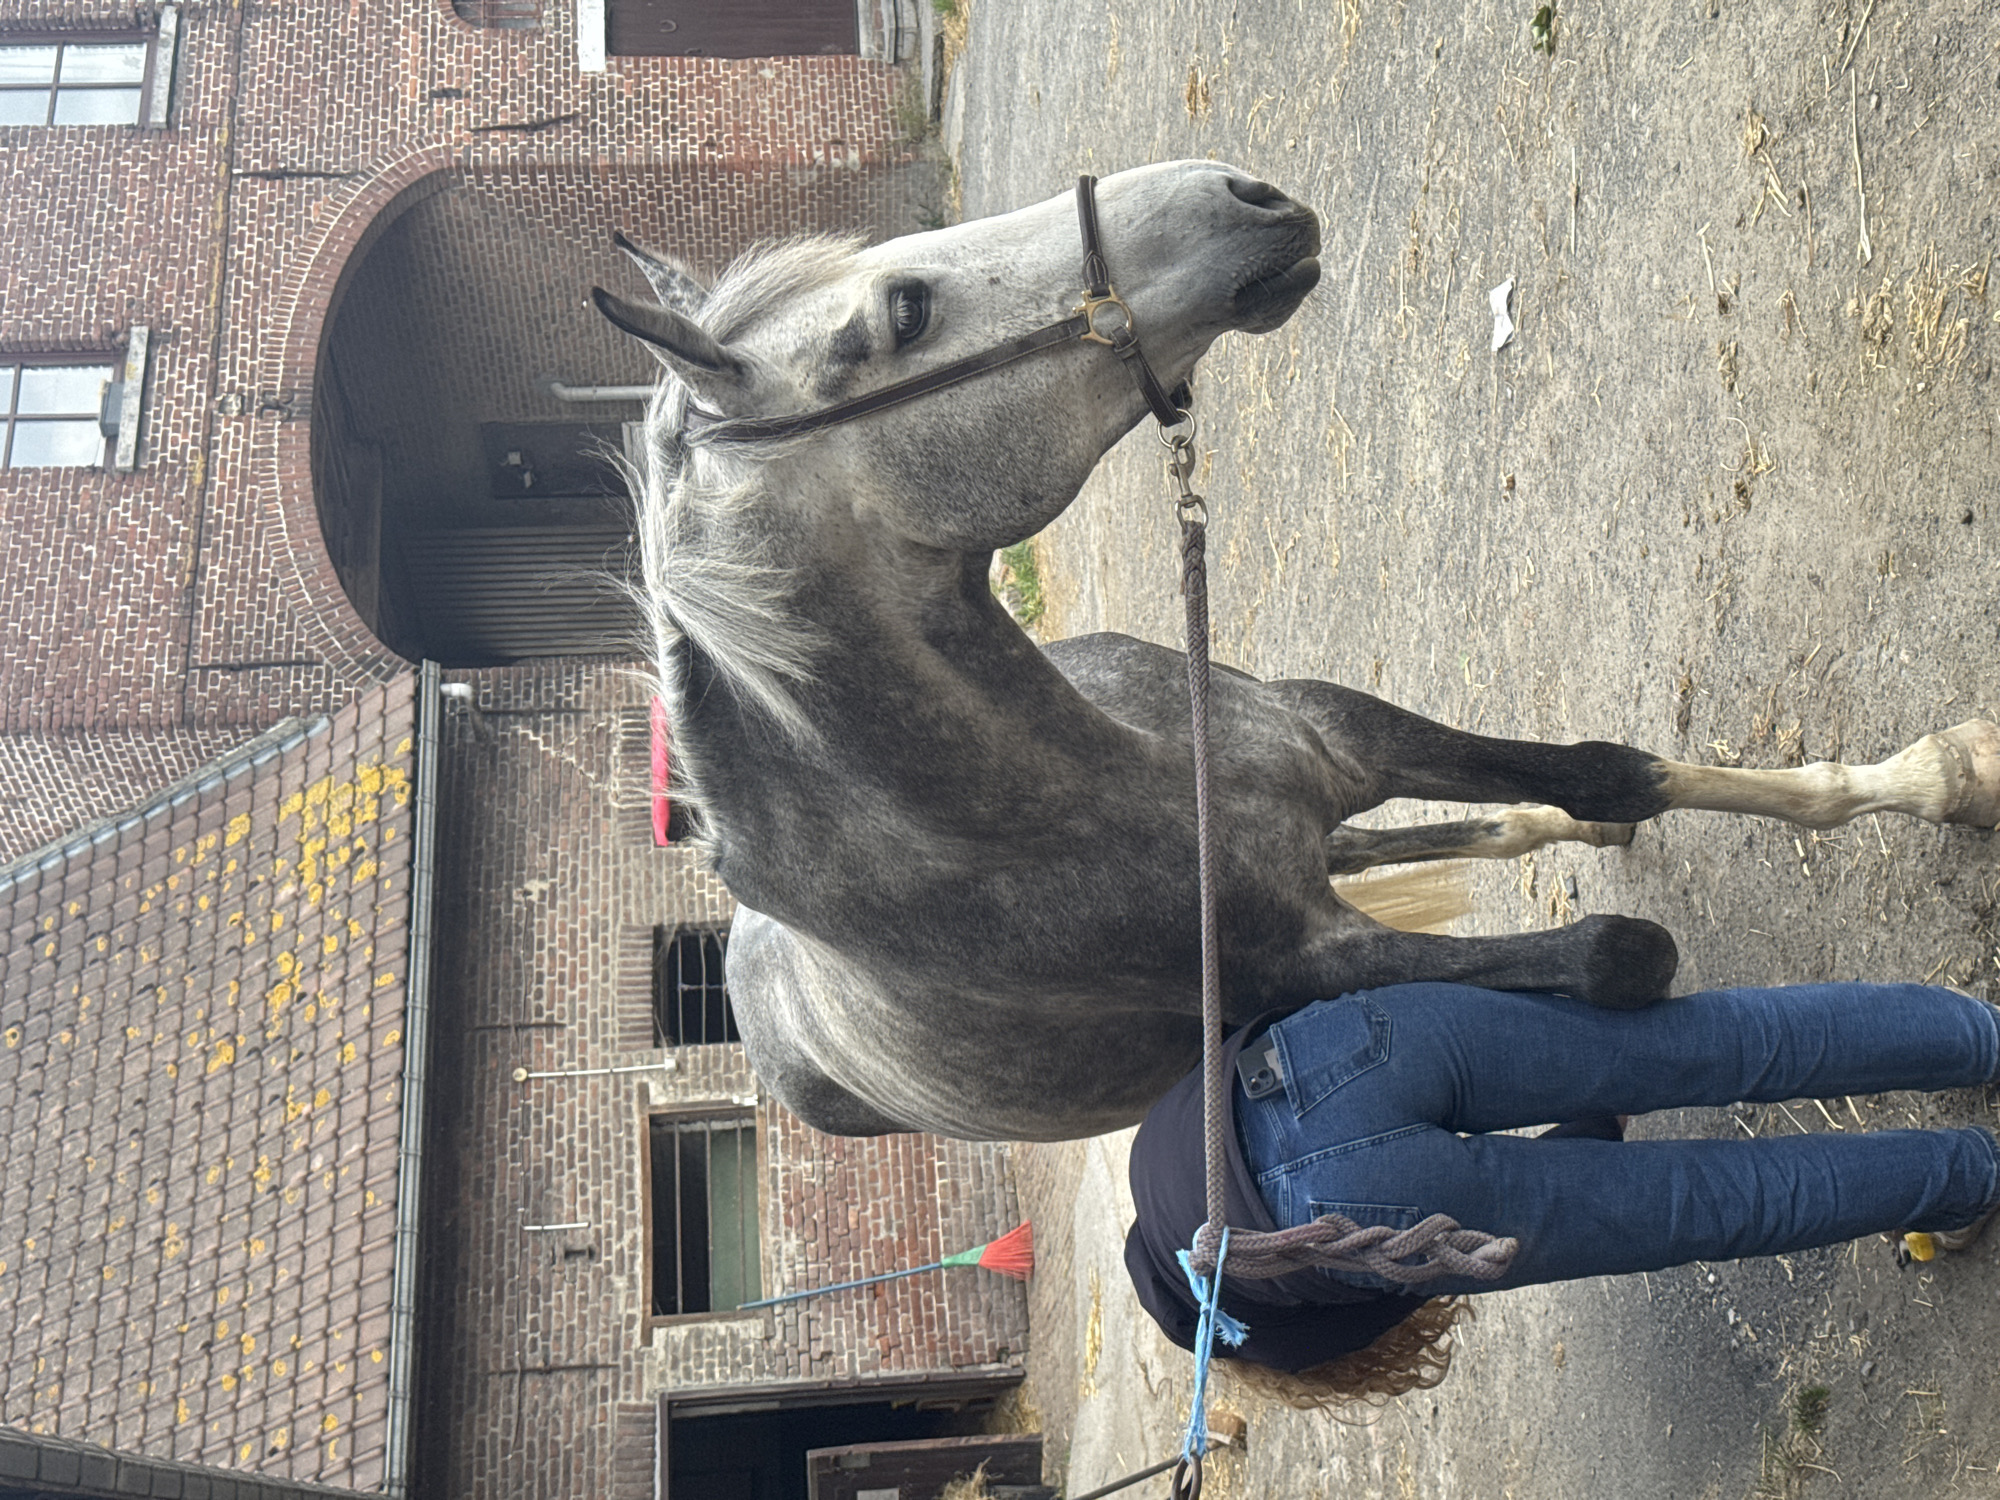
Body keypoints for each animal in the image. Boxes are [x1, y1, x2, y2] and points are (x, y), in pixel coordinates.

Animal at [593, 161, 2000, 1142]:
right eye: (903, 309)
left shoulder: (1337, 730)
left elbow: (1614, 768)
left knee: (1408, 836)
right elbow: (1619, 956)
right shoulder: (1303, 969)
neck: (1078, 795)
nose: (1247, 194)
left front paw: (1941, 777)